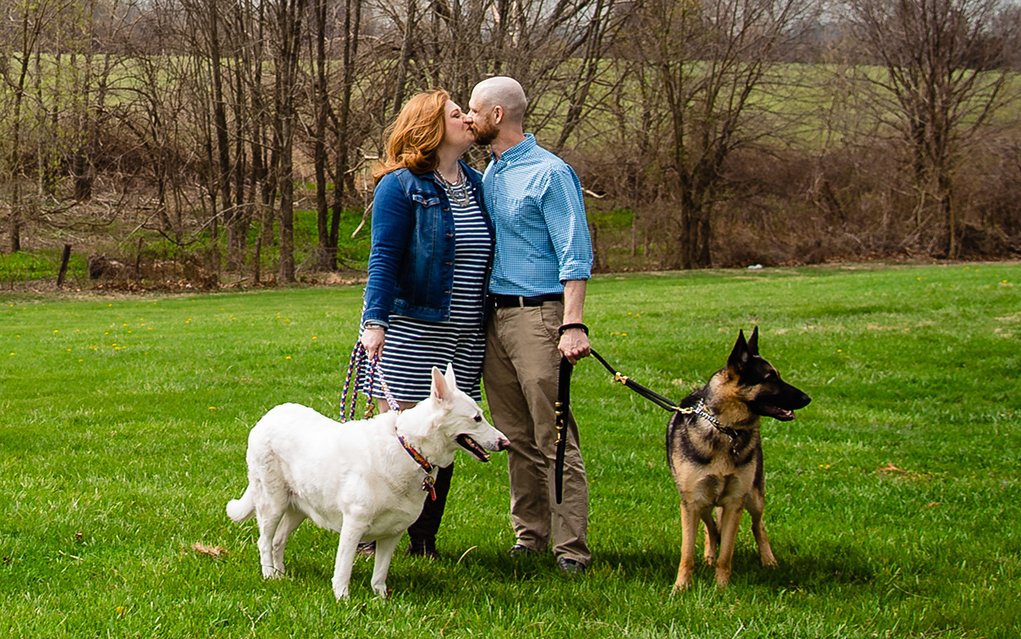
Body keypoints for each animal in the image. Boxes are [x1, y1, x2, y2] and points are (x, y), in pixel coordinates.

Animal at [226, 363, 506, 596]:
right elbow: (343, 568)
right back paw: (269, 575)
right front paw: (342, 599)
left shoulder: (393, 533)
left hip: (299, 508)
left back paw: (282, 575)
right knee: (265, 541)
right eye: (477, 418)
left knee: (278, 541)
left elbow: (380, 574)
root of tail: (267, 416)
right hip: (272, 503)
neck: (410, 448)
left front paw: (381, 599)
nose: (505, 443)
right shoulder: (354, 525)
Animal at [665, 326, 808, 587]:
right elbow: (687, 553)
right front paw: (681, 587)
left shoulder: (734, 502)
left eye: (778, 375)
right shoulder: (691, 503)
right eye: (770, 378)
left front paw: (721, 588)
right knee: (711, 529)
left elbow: (727, 554)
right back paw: (708, 557)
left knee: (758, 526)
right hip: (703, 505)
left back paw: (768, 561)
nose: (807, 398)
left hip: (754, 498)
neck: (725, 429)